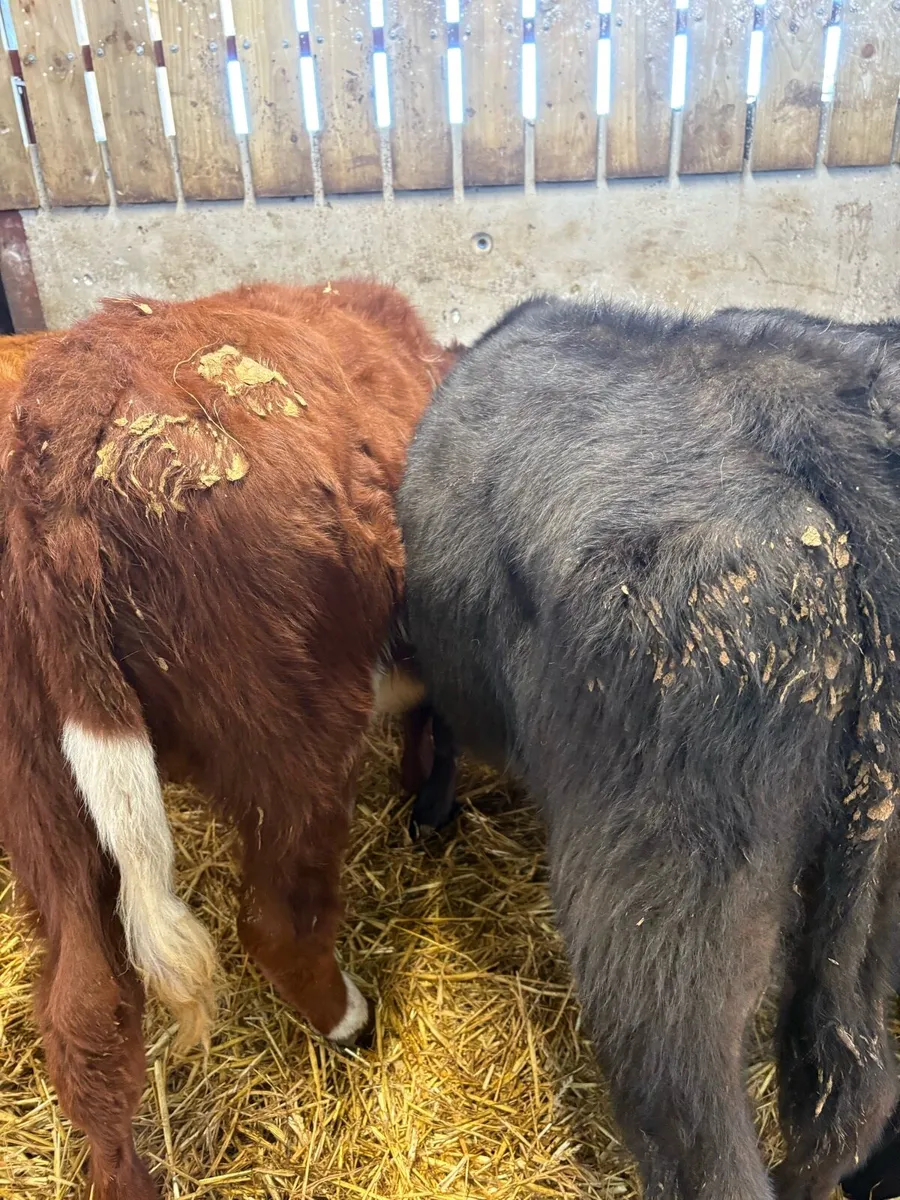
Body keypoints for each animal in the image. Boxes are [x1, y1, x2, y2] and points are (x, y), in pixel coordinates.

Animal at [396, 296, 900, 1200]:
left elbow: (443, 739)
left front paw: (427, 811)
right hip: (869, 897)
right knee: (848, 1094)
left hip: (664, 914)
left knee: (695, 1128)